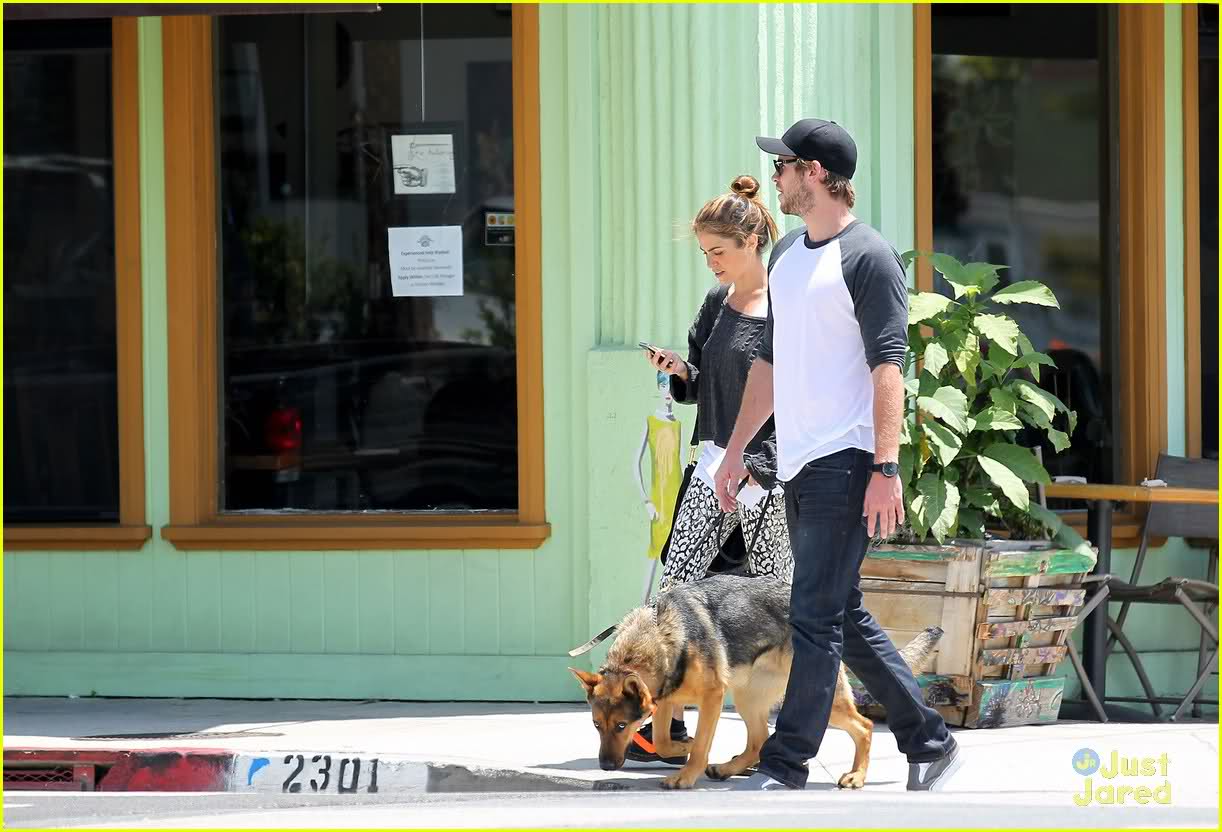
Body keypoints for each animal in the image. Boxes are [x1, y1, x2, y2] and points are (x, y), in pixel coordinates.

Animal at [567, 574, 938, 786]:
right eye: (597, 725)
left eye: (620, 726)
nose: (605, 766)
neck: (657, 637)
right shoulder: (664, 700)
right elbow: (661, 740)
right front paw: (681, 746)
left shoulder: (712, 698)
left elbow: (700, 746)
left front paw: (687, 774)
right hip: (748, 696)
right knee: (759, 741)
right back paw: (729, 769)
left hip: (821, 699)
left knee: (864, 726)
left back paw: (857, 776)